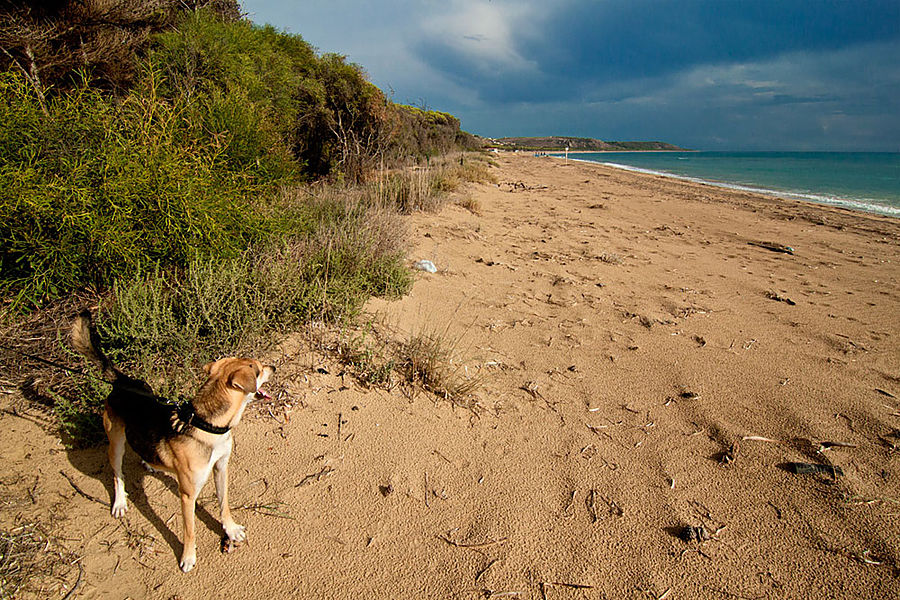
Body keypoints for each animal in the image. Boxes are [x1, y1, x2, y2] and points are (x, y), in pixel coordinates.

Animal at [71, 314, 274, 572]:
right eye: (259, 369)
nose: (273, 367)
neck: (206, 425)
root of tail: (122, 381)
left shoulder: (221, 468)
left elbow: (224, 504)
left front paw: (230, 529)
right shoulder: (187, 494)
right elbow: (189, 531)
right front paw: (188, 557)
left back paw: (150, 464)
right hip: (115, 443)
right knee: (117, 474)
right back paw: (119, 503)